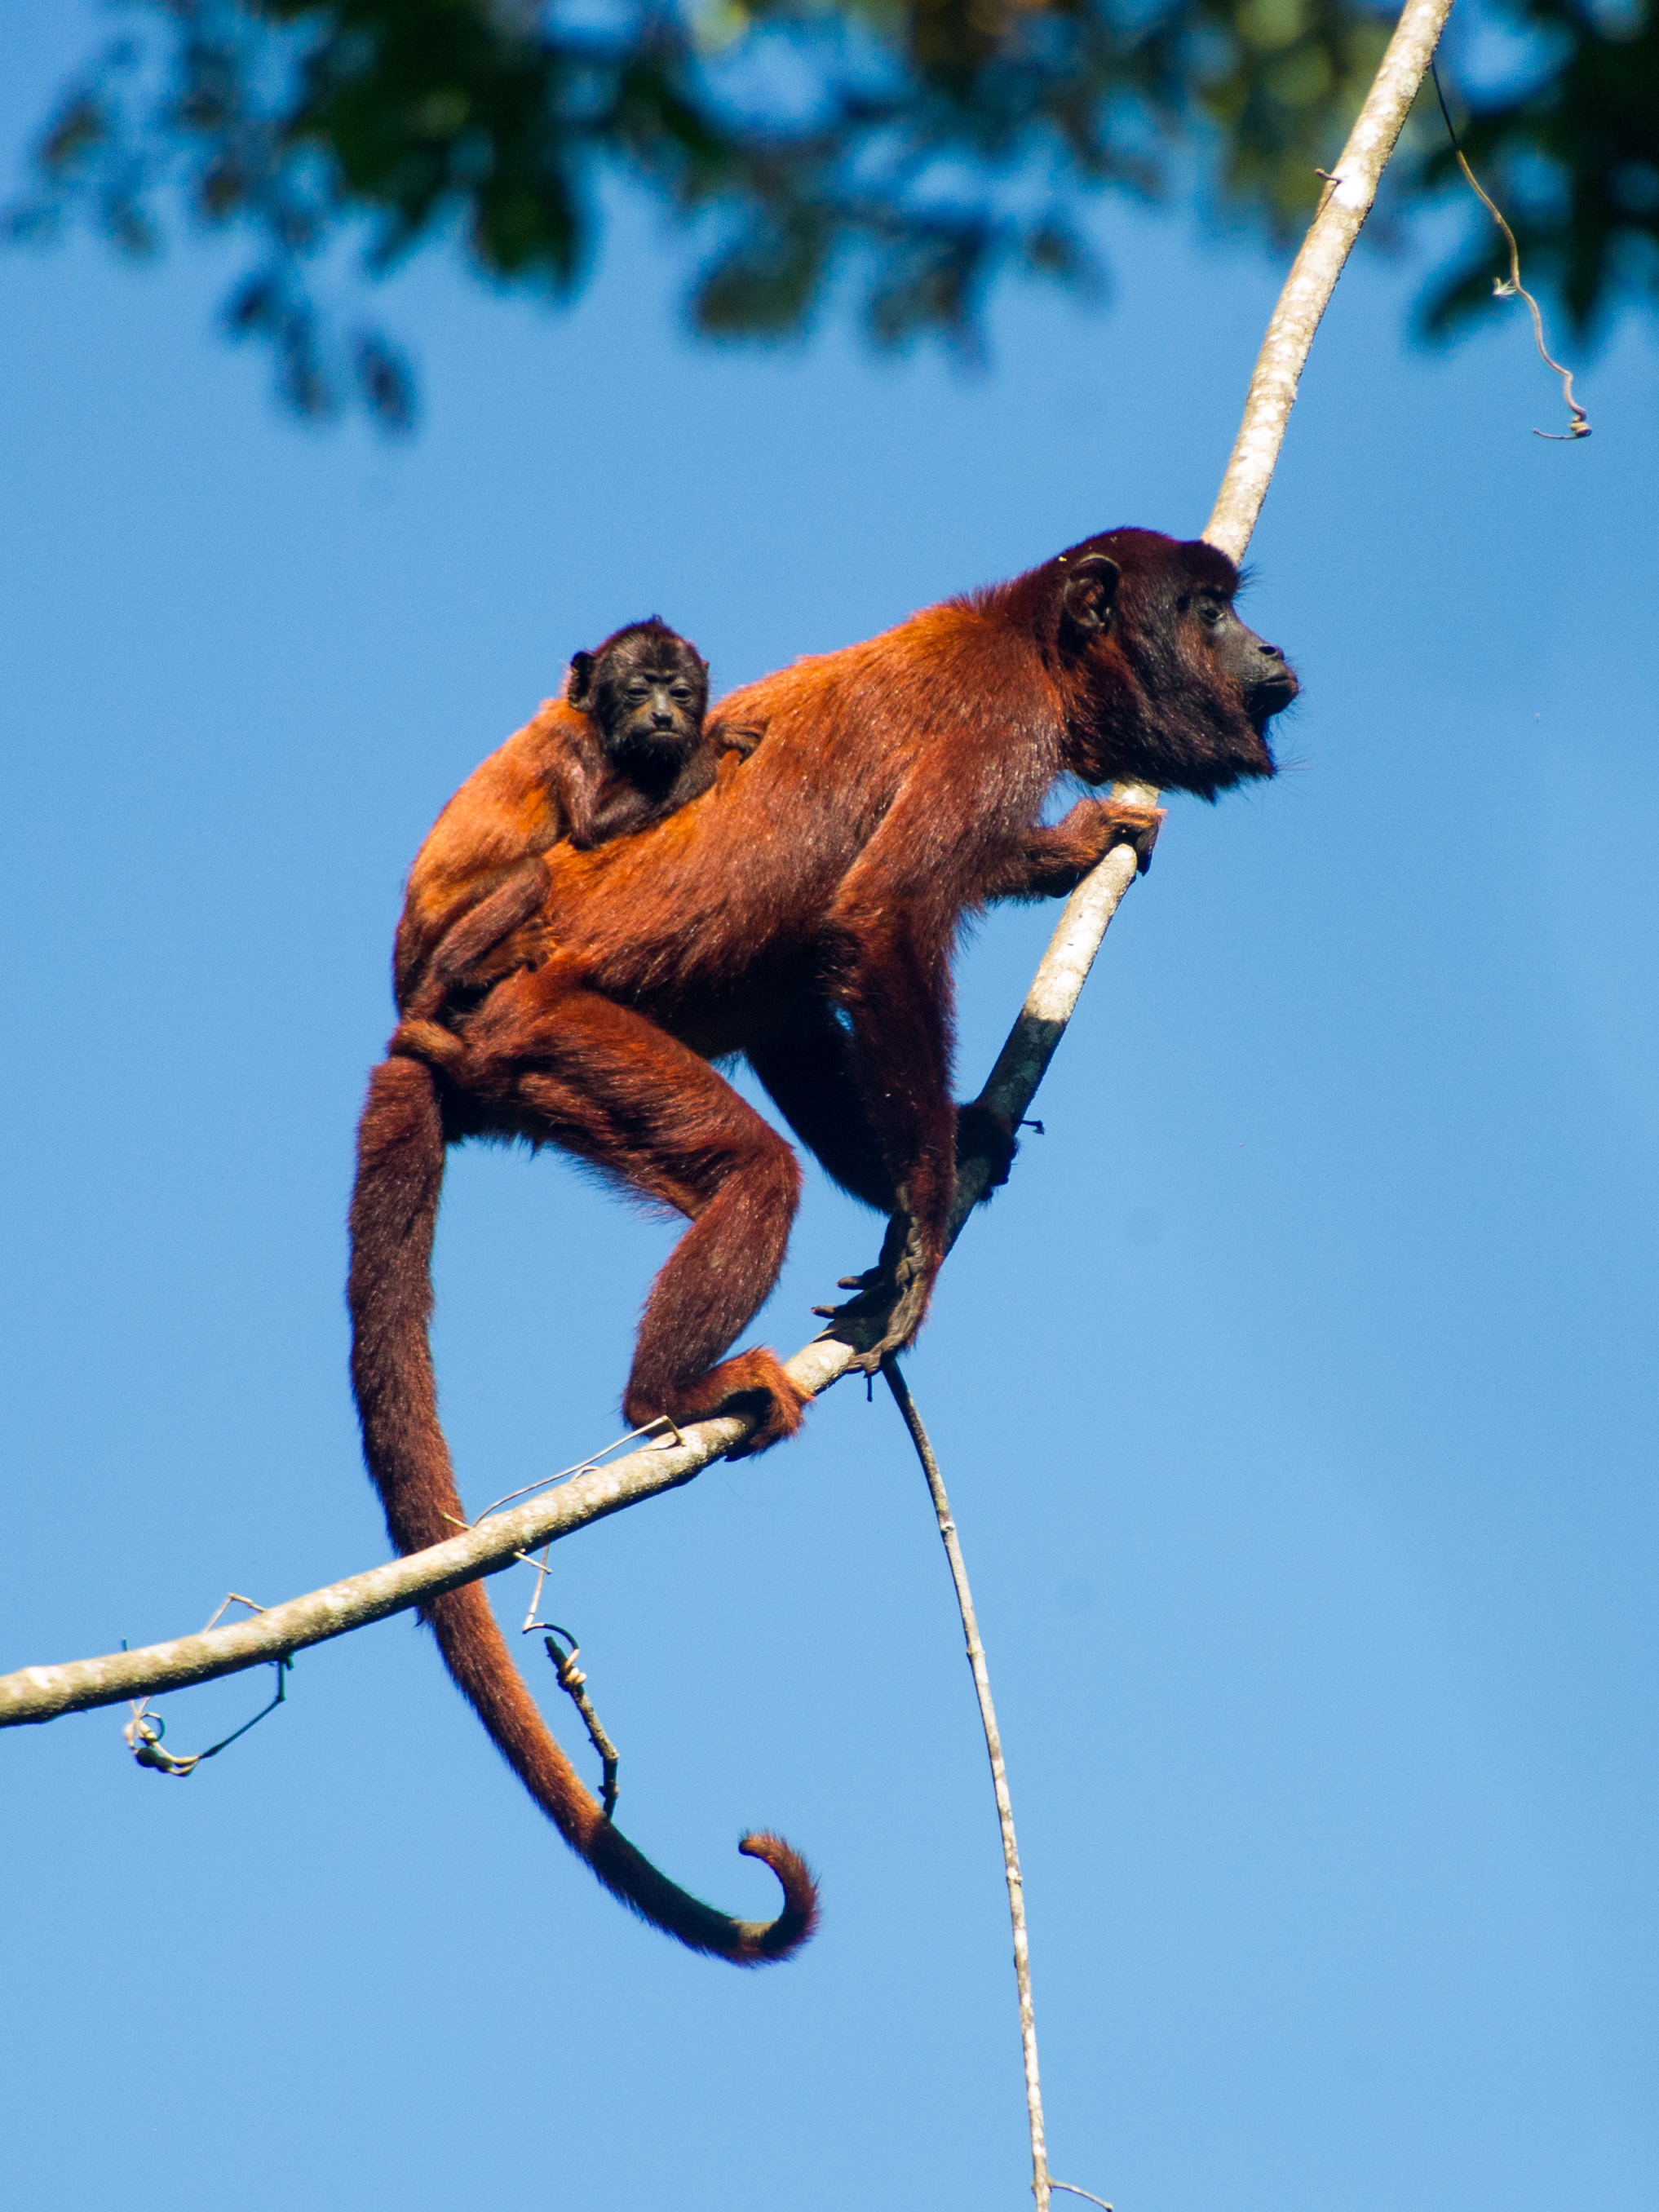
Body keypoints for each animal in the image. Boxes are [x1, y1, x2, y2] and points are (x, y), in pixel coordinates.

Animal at [353, 526, 1300, 1964]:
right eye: (1203, 612)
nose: (1270, 650)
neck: (1025, 639)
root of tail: (431, 1024)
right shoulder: (992, 723)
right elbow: (884, 914)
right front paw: (921, 1230)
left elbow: (815, 976)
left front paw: (955, 1144)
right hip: (542, 1033)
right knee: (755, 1163)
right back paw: (677, 1390)